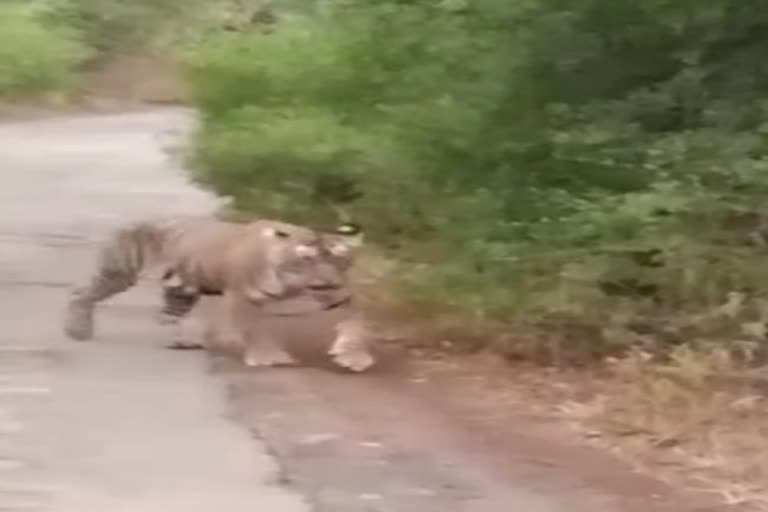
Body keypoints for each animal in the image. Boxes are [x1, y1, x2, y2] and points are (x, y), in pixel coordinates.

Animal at [64, 215, 376, 372]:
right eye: (306, 259)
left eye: (341, 259)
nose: (327, 283)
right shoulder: (242, 297)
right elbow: (255, 330)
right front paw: (268, 358)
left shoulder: (342, 297)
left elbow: (357, 323)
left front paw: (353, 357)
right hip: (119, 271)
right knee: (81, 292)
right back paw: (77, 331)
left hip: (181, 291)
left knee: (168, 315)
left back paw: (184, 341)